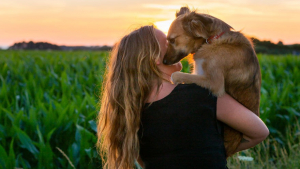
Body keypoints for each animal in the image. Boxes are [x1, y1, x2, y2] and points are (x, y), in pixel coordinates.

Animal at [163, 6, 262, 157]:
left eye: (172, 40)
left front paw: (173, 78)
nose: (164, 62)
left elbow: (178, 74)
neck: (211, 40)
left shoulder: (215, 83)